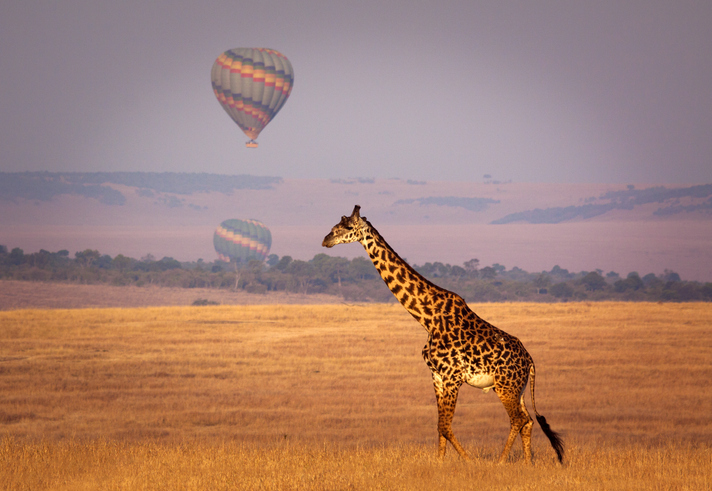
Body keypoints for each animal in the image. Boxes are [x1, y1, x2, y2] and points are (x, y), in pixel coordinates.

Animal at [322, 205, 564, 464]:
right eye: (336, 225)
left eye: (347, 227)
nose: (326, 240)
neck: (427, 318)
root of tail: (530, 361)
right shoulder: (437, 376)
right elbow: (440, 426)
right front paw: (440, 462)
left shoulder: (451, 377)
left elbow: (446, 426)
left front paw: (469, 461)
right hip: (517, 388)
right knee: (527, 421)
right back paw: (528, 463)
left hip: (505, 386)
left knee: (518, 419)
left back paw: (500, 462)